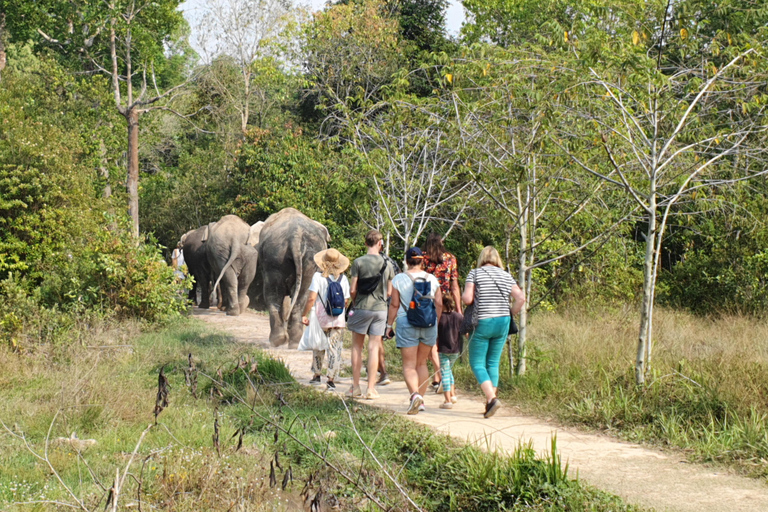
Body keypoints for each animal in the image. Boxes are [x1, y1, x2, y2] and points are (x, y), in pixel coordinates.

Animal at [258, 208, 330, 348]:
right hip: (306, 259)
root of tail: (295, 237)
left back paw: (277, 341)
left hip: (275, 258)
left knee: (272, 294)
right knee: (302, 295)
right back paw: (294, 342)